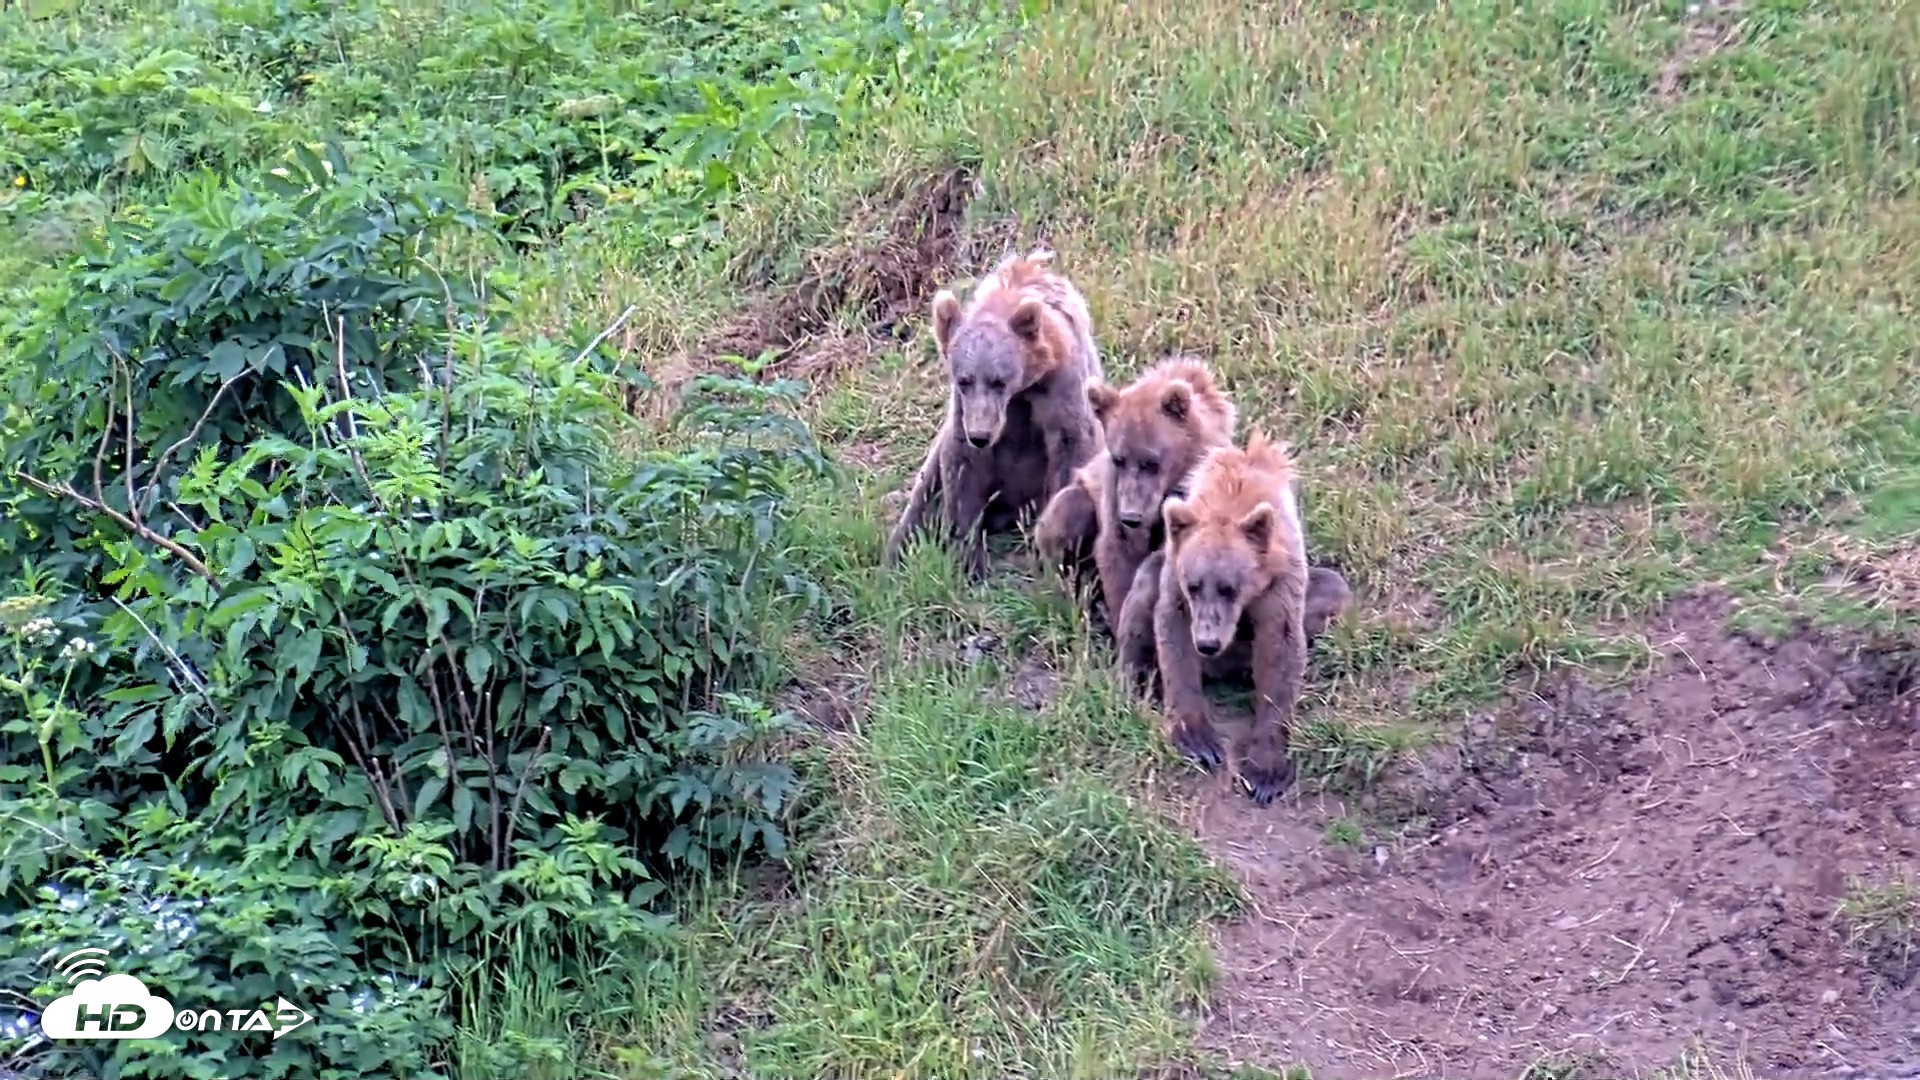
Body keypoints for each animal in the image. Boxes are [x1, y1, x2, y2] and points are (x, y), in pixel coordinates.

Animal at [882, 248, 1105, 581]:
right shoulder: (965, 411)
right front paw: (968, 555)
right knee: (925, 490)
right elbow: (961, 468)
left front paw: (1054, 550)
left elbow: (1071, 446)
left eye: (998, 380)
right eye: (964, 380)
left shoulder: (1061, 389)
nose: (981, 435)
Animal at [1118, 430, 1345, 806]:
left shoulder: (1280, 581)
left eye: (1229, 587)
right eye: (1194, 586)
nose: (1209, 644)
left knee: (1334, 588)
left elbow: (1281, 648)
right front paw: (1198, 740)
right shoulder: (1176, 572)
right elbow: (1173, 635)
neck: (1231, 500)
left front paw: (1265, 771)